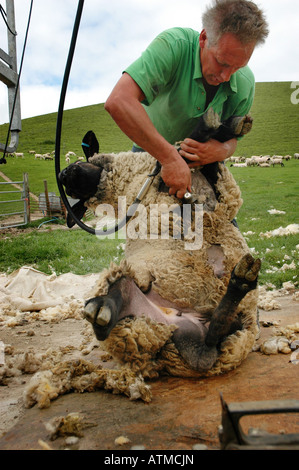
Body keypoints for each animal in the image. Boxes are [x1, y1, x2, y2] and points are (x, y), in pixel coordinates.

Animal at [57, 108, 262, 398]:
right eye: (71, 190)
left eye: (76, 164)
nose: (63, 175)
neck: (126, 183)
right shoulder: (169, 179)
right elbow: (186, 150)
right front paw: (214, 124)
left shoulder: (219, 193)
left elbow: (203, 157)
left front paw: (230, 125)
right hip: (137, 315)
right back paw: (102, 309)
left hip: (231, 329)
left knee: (210, 344)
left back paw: (240, 281)